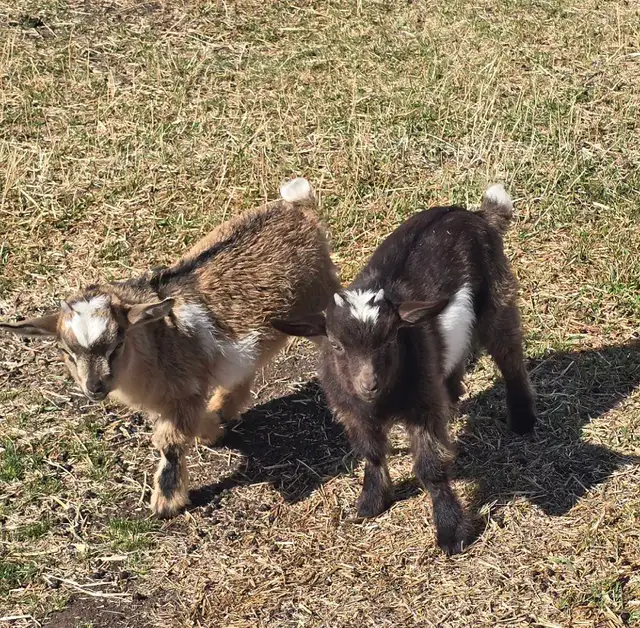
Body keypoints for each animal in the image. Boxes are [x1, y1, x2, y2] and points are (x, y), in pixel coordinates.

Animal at [1, 178, 340, 518]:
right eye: (67, 353)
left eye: (118, 344)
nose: (94, 387)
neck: (158, 341)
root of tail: (297, 207)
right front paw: (212, 430)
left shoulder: (183, 392)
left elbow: (170, 443)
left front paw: (166, 501)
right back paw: (222, 408)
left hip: (321, 299)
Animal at [272, 184, 536, 555]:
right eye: (336, 345)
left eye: (389, 340)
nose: (368, 383)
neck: (382, 401)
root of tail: (474, 213)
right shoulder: (352, 412)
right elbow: (371, 453)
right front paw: (371, 502)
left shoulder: (422, 408)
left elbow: (431, 467)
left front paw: (451, 531)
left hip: (498, 294)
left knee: (509, 352)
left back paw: (523, 419)